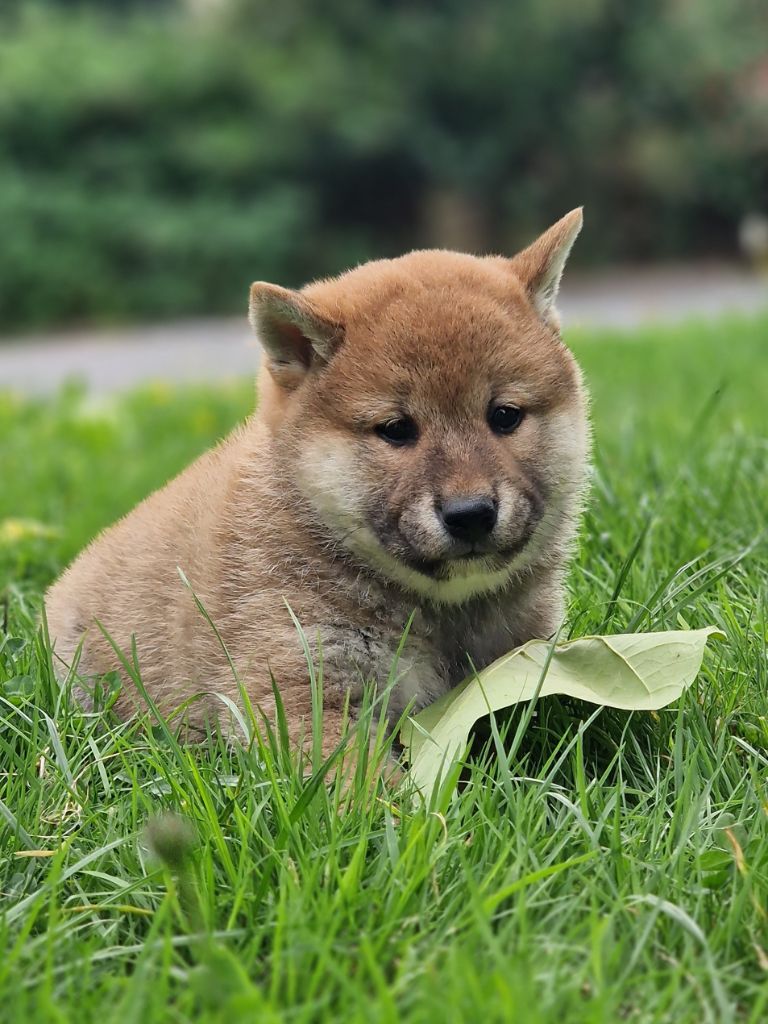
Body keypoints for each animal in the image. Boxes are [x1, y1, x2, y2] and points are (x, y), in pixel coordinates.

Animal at [45, 209, 593, 761]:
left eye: (504, 416)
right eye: (396, 429)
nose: (471, 513)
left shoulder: (525, 656)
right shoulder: (296, 693)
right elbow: (369, 778)